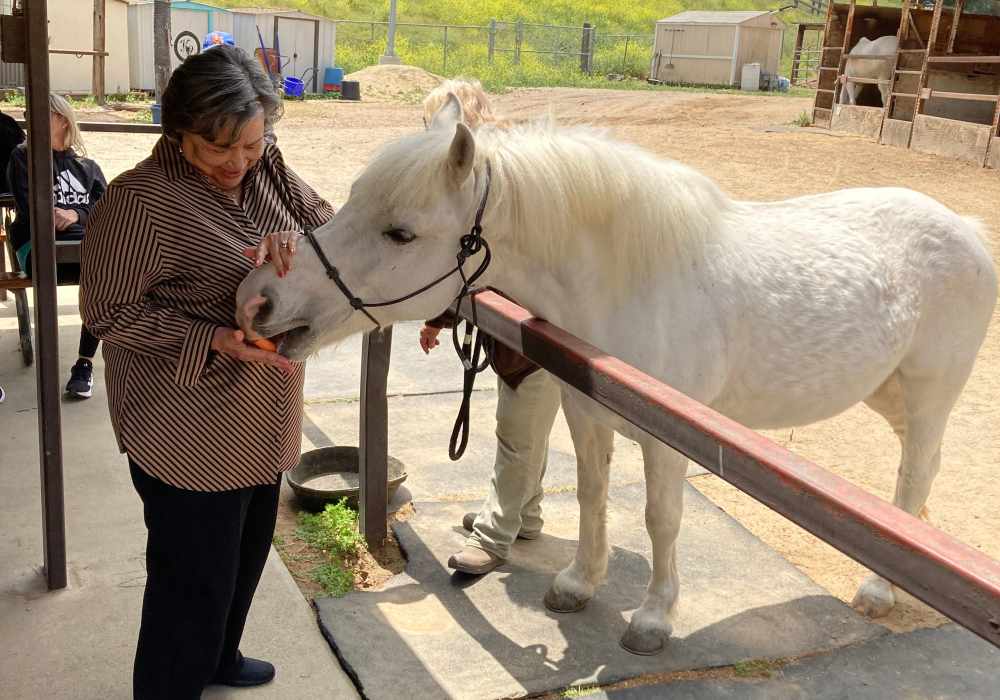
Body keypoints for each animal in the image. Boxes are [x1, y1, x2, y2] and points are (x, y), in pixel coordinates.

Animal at [236, 95, 997, 654]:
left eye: (400, 232)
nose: (260, 299)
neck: (632, 283)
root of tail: (963, 225)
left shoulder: (669, 442)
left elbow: (661, 519)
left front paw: (654, 618)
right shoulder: (585, 412)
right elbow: (594, 496)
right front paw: (579, 583)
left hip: (930, 397)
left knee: (916, 470)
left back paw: (878, 588)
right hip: (886, 394)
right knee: (914, 481)